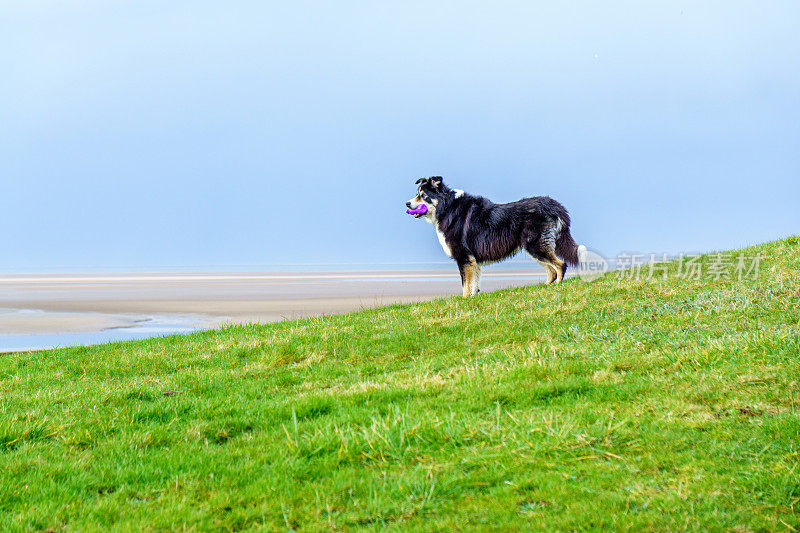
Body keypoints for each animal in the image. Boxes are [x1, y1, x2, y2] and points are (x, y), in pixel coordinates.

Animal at [406, 178, 588, 296]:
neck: (447, 207)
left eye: (422, 195)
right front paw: (473, 300)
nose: (407, 204)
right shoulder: (472, 260)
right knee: (551, 270)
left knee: (560, 265)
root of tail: (554, 205)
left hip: (536, 245)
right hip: (534, 247)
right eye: (417, 194)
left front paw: (464, 301)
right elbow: (474, 284)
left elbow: (465, 285)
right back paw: (545, 287)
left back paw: (557, 287)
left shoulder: (464, 257)